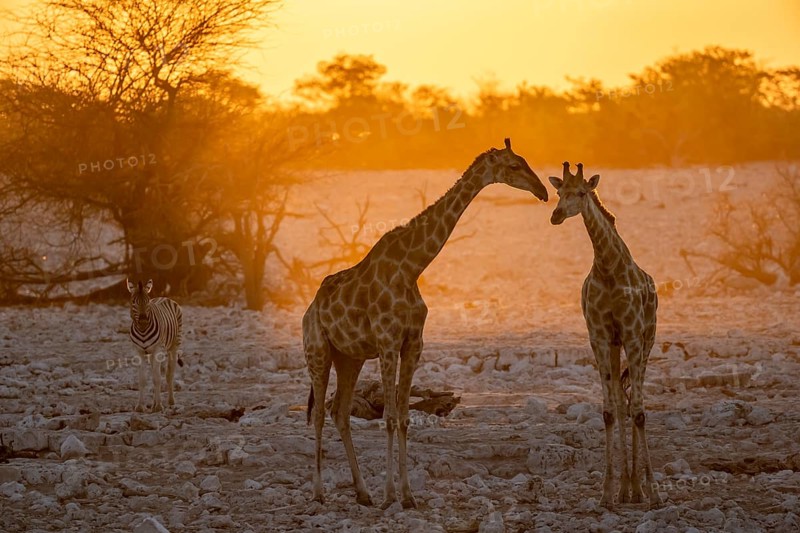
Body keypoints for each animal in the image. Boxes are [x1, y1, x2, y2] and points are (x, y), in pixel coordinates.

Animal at [303, 138, 548, 509]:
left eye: (525, 161)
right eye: (514, 166)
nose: (543, 191)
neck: (412, 267)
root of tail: (309, 310)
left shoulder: (413, 343)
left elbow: (404, 418)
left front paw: (407, 496)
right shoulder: (388, 341)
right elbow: (390, 418)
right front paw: (390, 495)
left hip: (350, 357)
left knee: (340, 412)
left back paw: (363, 493)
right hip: (318, 352)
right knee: (319, 413)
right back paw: (319, 493)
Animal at [549, 162, 661, 508]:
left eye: (581, 192)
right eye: (559, 192)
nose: (556, 215)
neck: (609, 269)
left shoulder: (633, 334)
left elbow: (640, 412)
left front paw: (654, 493)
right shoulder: (598, 336)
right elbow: (610, 412)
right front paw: (606, 493)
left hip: (646, 339)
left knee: (635, 405)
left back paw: (638, 490)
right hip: (614, 346)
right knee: (622, 404)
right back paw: (627, 490)